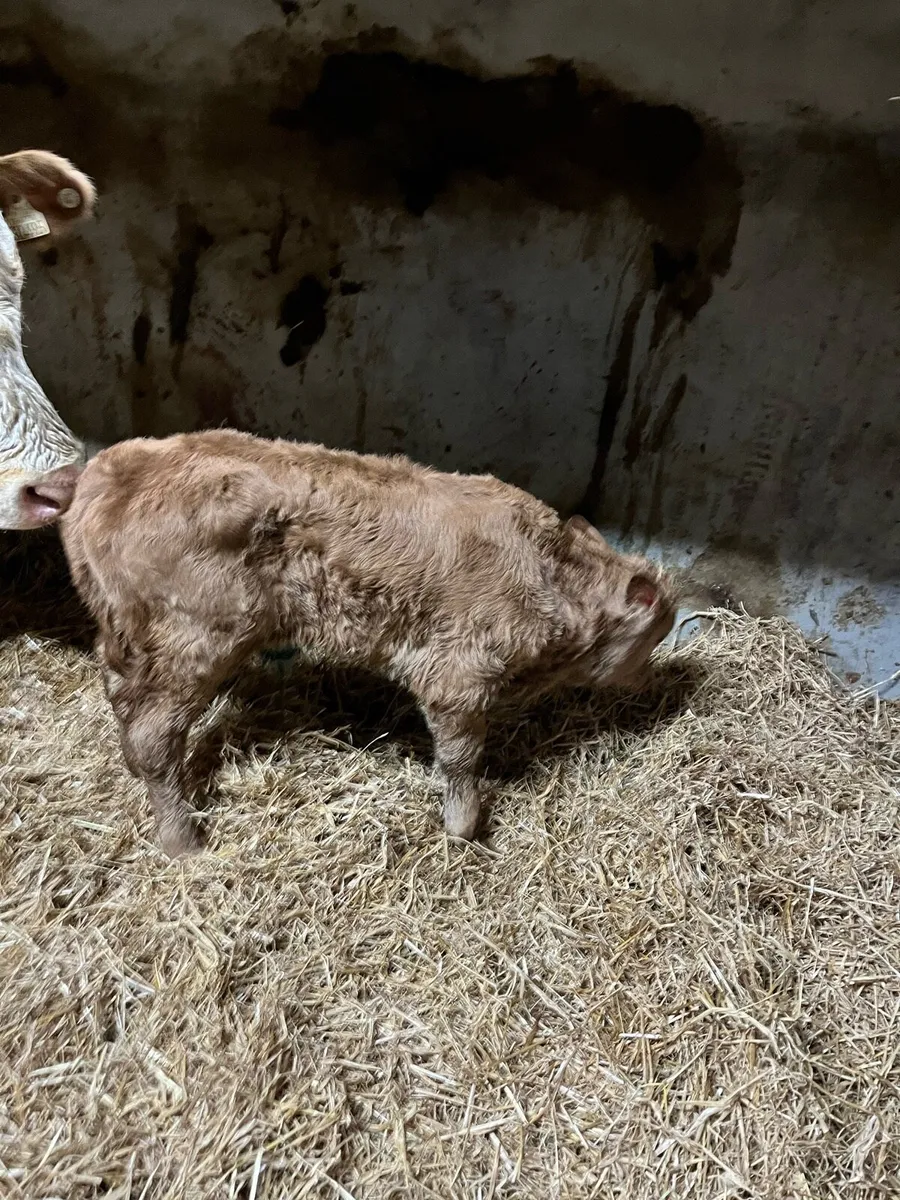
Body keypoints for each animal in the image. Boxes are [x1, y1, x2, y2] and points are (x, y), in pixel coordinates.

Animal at [61, 430, 678, 857]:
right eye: (656, 636)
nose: (648, 680)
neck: (553, 579)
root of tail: (109, 470)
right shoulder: (459, 674)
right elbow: (461, 759)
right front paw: (464, 832)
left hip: (133, 642)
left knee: (122, 706)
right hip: (193, 638)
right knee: (152, 738)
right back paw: (184, 842)